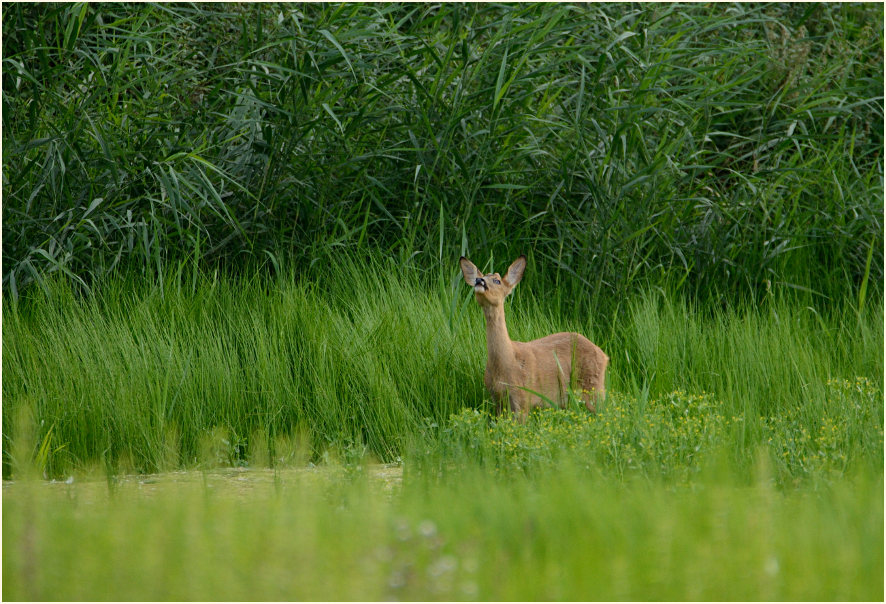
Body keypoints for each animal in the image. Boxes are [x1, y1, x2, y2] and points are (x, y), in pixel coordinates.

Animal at [460, 255, 608, 421]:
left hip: (593, 385)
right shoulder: (497, 400)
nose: (479, 281)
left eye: (497, 280)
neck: (507, 361)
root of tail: (604, 355)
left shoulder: (523, 398)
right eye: (479, 277)